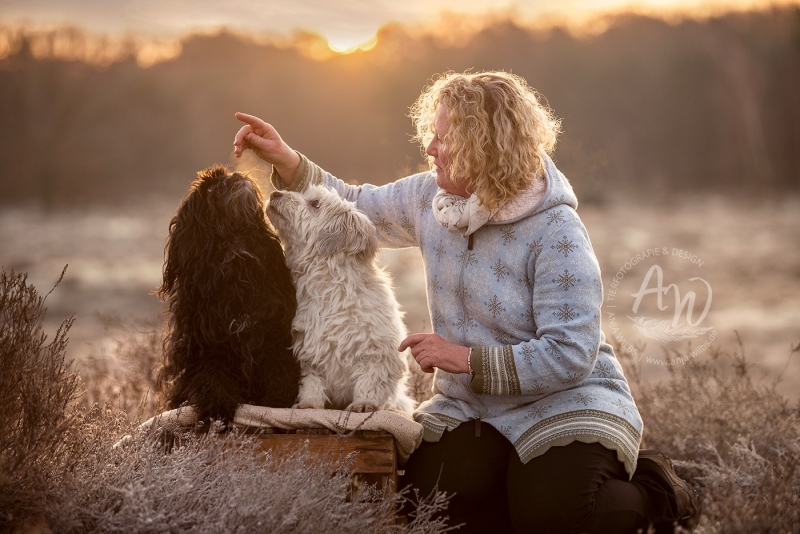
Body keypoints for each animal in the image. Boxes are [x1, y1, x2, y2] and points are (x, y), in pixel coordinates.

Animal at [157, 165, 300, 430]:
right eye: (212, 186)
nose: (234, 176)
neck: (236, 251)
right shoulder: (205, 345)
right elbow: (212, 378)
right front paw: (218, 412)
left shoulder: (275, 336)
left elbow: (278, 373)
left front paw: (276, 405)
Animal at [266, 186, 416, 416]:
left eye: (315, 203)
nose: (275, 193)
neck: (329, 286)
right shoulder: (309, 354)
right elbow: (312, 383)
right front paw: (309, 404)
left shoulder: (376, 352)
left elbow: (371, 381)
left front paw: (364, 403)